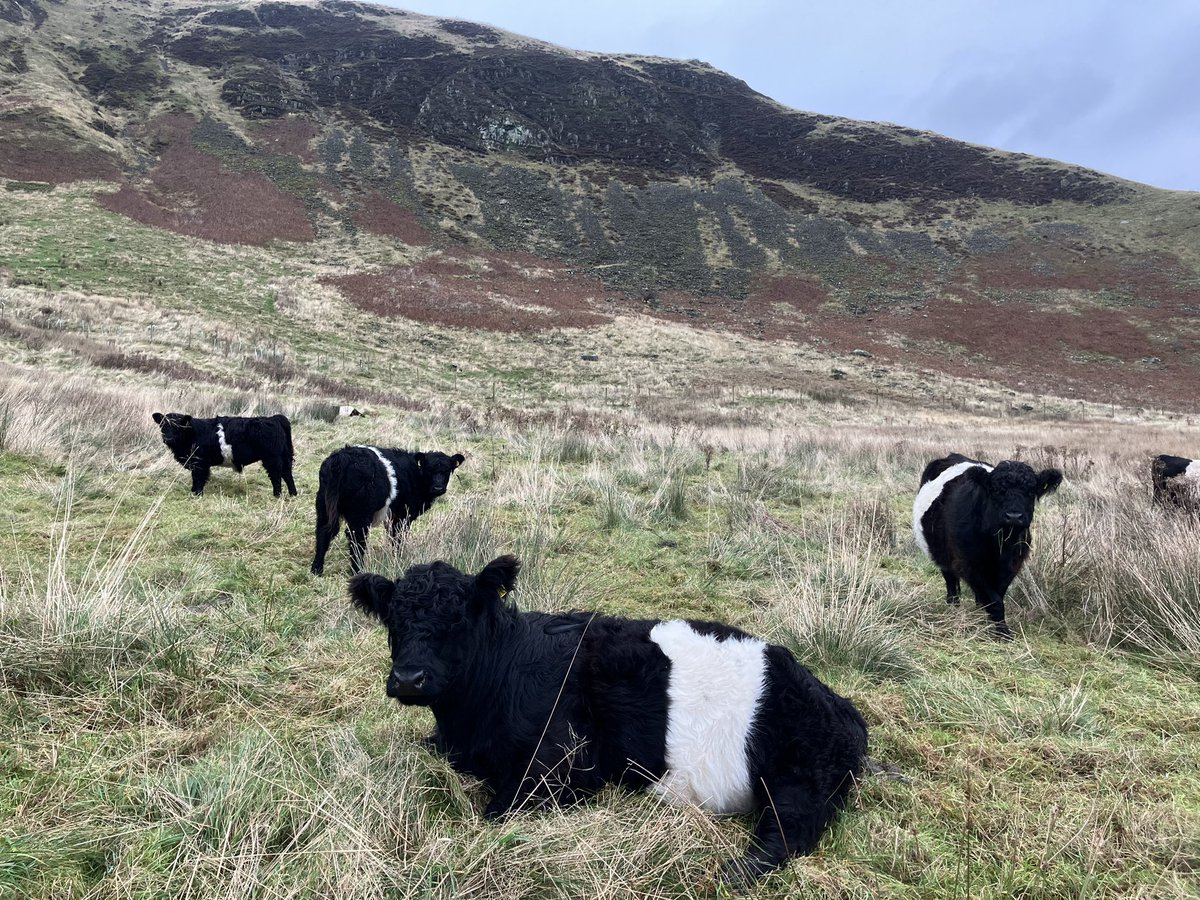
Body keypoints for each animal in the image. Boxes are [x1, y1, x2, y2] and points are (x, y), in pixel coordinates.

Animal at [152, 412, 297, 498]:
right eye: (163, 425)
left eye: (178, 427)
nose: (168, 439)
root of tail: (274, 418)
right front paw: (193, 491)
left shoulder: (200, 462)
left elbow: (198, 478)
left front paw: (197, 493)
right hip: (284, 456)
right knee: (287, 474)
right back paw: (293, 494)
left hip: (272, 458)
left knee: (276, 475)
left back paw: (277, 495)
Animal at [310, 444, 465, 575]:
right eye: (429, 470)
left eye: (446, 471)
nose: (438, 488)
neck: (414, 475)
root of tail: (342, 457)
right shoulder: (402, 517)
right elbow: (398, 539)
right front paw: (398, 560)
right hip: (361, 513)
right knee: (356, 537)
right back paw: (357, 570)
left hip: (323, 505)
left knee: (323, 531)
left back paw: (317, 569)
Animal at [349, 554, 868, 886]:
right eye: (393, 621)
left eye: (457, 620)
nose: (409, 678)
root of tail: (834, 701)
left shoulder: (560, 770)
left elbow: (495, 813)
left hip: (797, 774)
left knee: (789, 832)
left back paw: (731, 873)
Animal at [912, 453, 1062, 640]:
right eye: (996, 490)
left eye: (1030, 491)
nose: (1014, 516)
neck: (1000, 544)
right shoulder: (969, 564)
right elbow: (995, 601)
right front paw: (1003, 633)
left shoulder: (1011, 566)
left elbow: (996, 596)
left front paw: (989, 621)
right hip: (941, 554)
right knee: (950, 580)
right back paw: (953, 605)